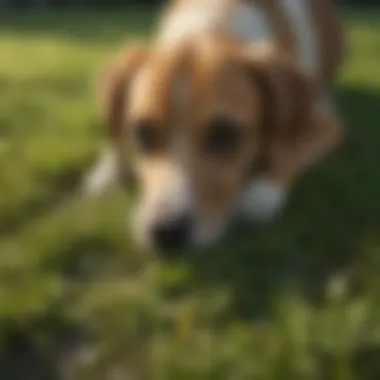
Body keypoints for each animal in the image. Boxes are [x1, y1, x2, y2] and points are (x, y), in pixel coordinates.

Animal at [83, 0, 344, 254]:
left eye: (224, 134)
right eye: (143, 133)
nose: (165, 233)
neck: (212, 23)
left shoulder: (325, 125)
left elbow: (284, 155)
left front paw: (262, 190)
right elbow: (115, 138)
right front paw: (103, 177)